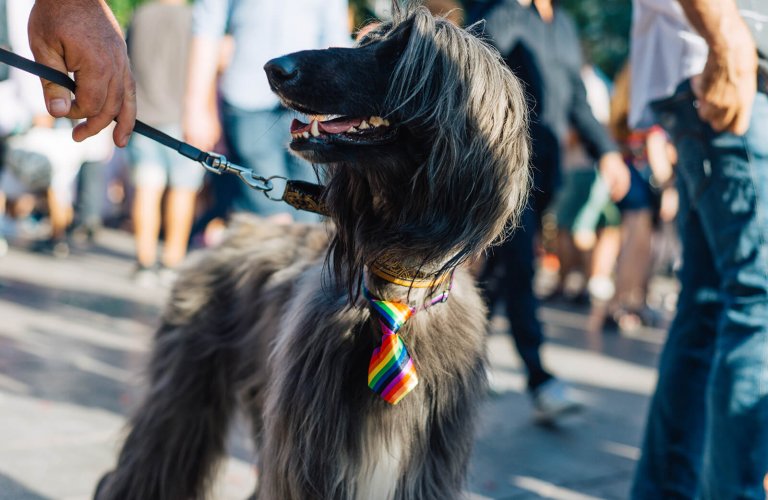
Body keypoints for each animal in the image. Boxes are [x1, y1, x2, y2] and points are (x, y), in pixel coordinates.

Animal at [96, 3, 528, 500]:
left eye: (399, 51)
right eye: (366, 42)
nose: (275, 68)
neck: (396, 293)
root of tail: (237, 228)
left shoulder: (423, 468)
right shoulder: (310, 457)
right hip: (187, 389)